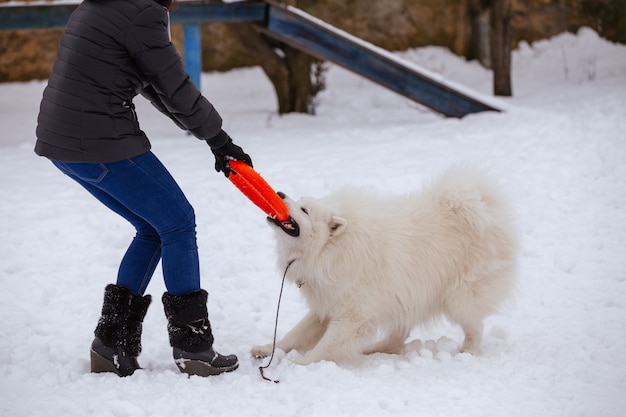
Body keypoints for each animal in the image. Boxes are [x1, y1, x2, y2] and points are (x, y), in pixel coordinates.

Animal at [249, 167, 516, 366]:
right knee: (398, 337)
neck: (329, 250)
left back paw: (468, 351)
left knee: (474, 326)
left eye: (304, 209)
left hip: (458, 297)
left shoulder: (353, 315)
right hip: (409, 294)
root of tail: (484, 207)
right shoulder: (325, 306)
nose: (280, 193)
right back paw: (375, 349)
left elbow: (325, 346)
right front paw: (266, 349)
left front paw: (299, 365)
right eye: (300, 200)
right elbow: (293, 336)